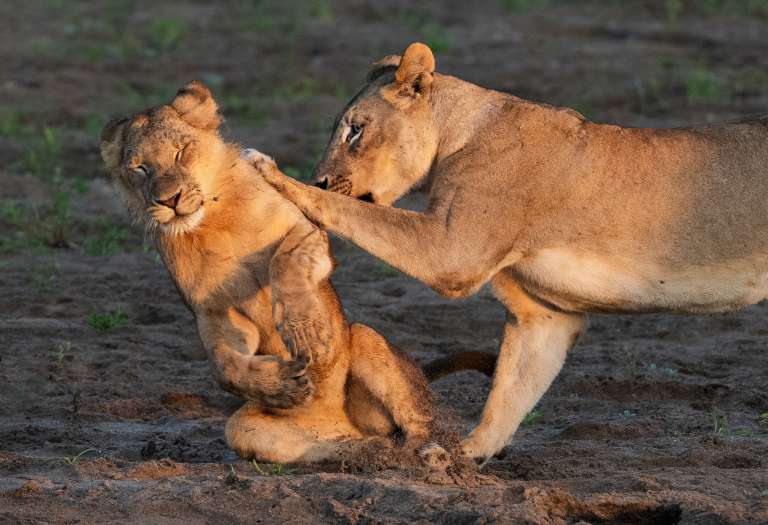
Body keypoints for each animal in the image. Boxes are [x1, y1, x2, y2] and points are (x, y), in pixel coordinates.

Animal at [99, 81, 443, 463]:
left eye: (182, 152)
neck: (211, 223)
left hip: (365, 338)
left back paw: (427, 455)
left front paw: (307, 331)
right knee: (311, 440)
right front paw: (283, 387)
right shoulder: (211, 310)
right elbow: (224, 366)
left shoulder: (306, 230)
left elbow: (284, 263)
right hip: (246, 429)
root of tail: (336, 421)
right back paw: (363, 452)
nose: (168, 200)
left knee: (419, 423)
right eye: (140, 168)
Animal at [261, 42, 768, 461]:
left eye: (355, 130)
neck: (460, 132)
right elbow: (509, 391)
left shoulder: (451, 252)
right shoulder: (545, 314)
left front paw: (275, 175)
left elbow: (352, 211)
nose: (323, 177)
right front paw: (464, 457)